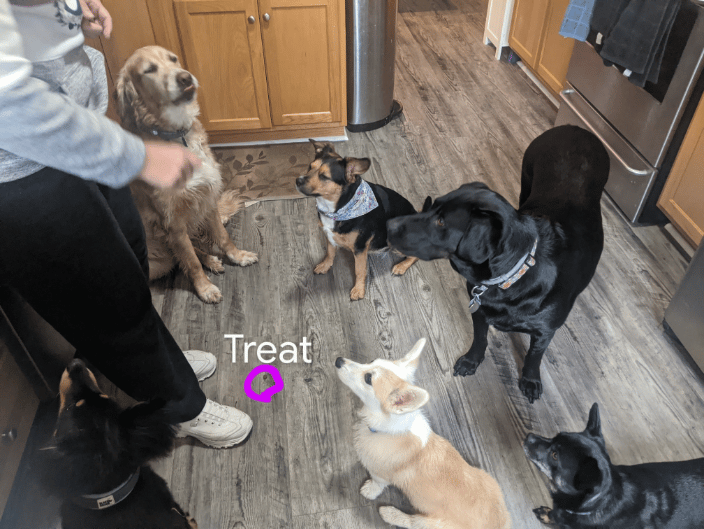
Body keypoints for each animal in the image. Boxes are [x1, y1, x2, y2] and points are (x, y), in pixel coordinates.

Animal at [115, 45, 258, 304]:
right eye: (149, 70)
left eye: (173, 59)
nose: (185, 78)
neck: (178, 136)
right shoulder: (172, 223)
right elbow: (190, 262)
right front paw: (205, 288)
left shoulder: (207, 198)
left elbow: (223, 237)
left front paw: (238, 257)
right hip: (158, 261)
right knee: (180, 256)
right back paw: (208, 261)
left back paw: (212, 259)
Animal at [296, 140, 420, 300]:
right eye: (310, 167)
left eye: (324, 176)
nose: (297, 180)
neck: (339, 207)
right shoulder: (329, 236)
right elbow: (330, 253)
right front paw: (325, 265)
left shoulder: (360, 249)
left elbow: (360, 270)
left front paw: (359, 290)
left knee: (416, 256)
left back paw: (401, 266)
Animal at [335, 338, 512, 529]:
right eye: (371, 361)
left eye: (368, 379)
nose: (338, 360)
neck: (387, 427)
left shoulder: (381, 474)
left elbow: (377, 482)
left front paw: (369, 490)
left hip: (430, 523)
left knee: (413, 521)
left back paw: (390, 513)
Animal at [387, 125, 610, 402]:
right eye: (433, 207)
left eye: (441, 222)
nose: (388, 225)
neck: (513, 274)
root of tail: (574, 127)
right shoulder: (479, 311)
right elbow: (480, 339)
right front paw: (471, 361)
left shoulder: (545, 331)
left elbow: (534, 356)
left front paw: (530, 380)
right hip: (527, 177)